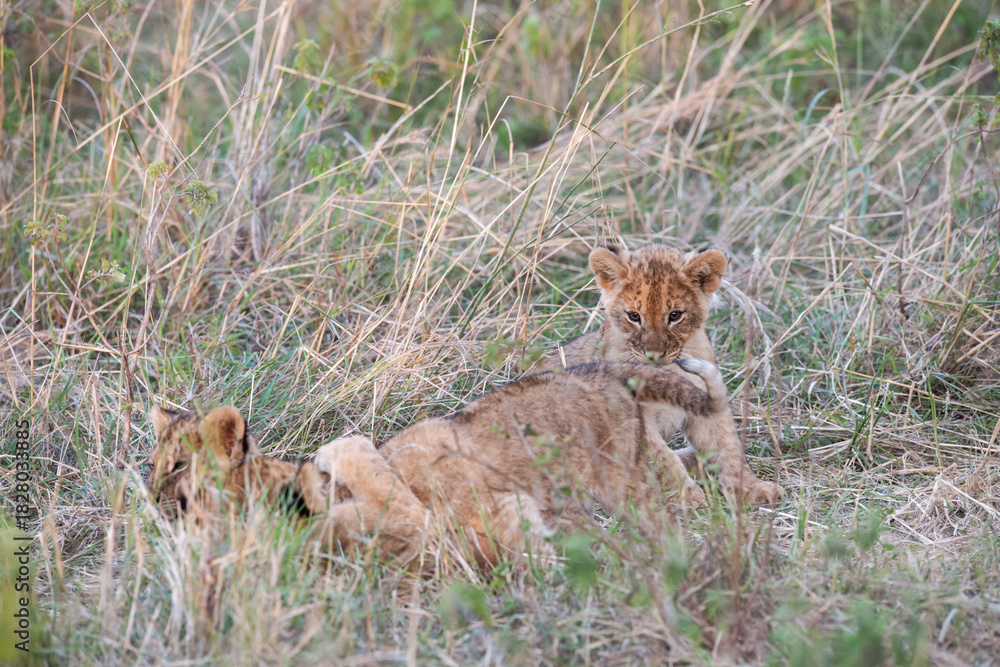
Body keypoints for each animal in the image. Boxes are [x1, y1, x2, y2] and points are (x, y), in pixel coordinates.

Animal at [541, 243, 785, 505]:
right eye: (634, 316)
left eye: (675, 315)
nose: (654, 355)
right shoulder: (628, 416)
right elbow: (662, 461)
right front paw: (690, 500)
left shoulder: (706, 400)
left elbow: (727, 446)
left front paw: (753, 489)